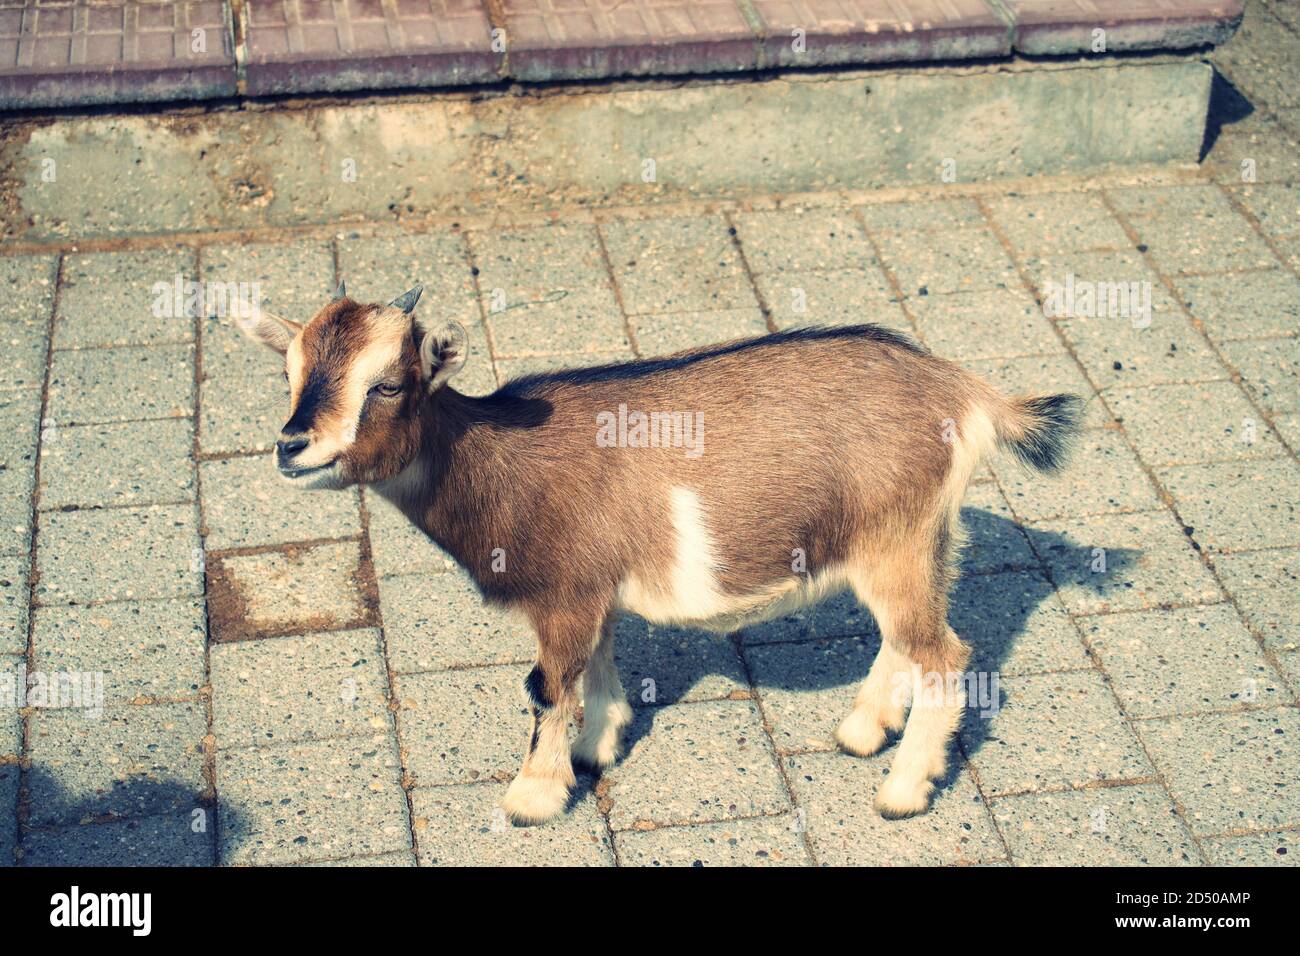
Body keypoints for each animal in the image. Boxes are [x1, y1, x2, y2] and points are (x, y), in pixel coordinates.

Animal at [238, 282, 1081, 825]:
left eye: (386, 384)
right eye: (290, 374)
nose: (292, 446)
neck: (497, 461)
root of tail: (965, 392)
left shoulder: (565, 593)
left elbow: (547, 686)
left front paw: (532, 798)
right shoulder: (591, 592)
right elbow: (598, 665)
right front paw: (597, 748)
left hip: (897, 541)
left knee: (943, 655)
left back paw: (901, 793)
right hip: (915, 542)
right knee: (910, 640)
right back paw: (863, 731)